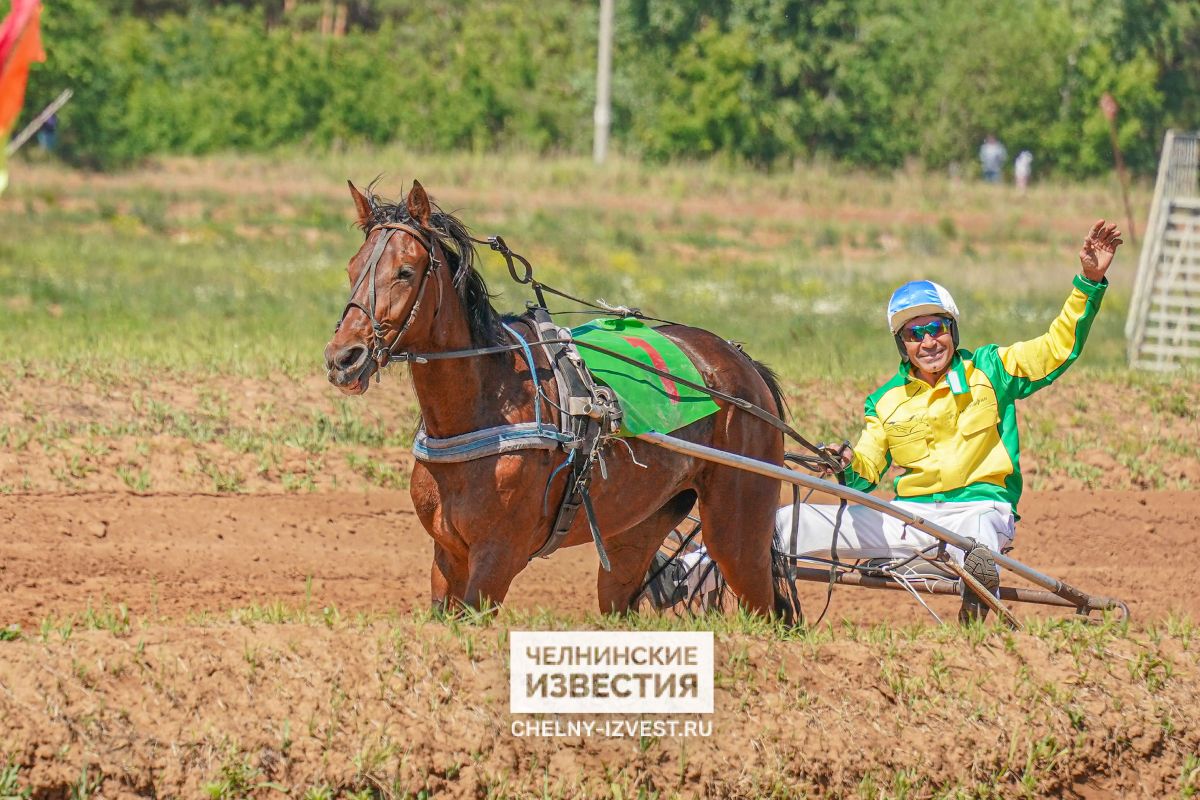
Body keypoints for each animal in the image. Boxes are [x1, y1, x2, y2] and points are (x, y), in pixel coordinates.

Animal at [324, 181, 787, 618]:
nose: (343, 358)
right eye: (352, 268)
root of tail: (742, 363)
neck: (488, 404)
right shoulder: (448, 555)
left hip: (737, 531)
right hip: (636, 530)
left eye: (404, 271)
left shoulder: (497, 557)